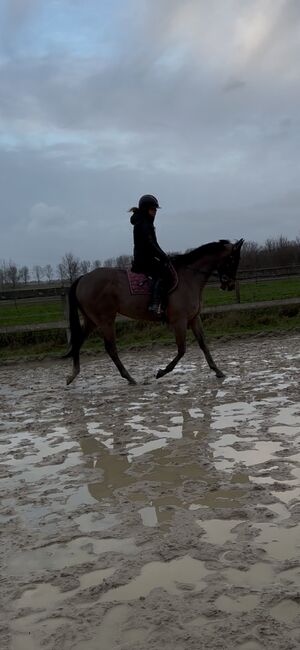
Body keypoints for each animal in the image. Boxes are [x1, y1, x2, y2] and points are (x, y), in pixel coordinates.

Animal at [65, 238, 244, 384]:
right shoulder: (179, 321)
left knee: (78, 341)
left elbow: (203, 344)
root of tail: (84, 278)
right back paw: (129, 377)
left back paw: (73, 375)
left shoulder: (194, 318)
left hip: (91, 320)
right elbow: (182, 349)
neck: (189, 278)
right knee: (111, 348)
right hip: (106, 320)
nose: (229, 285)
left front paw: (218, 371)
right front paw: (161, 372)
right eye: (233, 259)